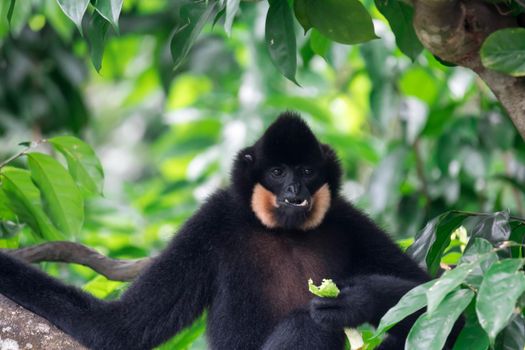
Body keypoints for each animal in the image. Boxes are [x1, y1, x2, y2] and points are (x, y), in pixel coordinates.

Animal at [2, 113, 432, 348]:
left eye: (307, 171)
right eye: (279, 172)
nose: (295, 191)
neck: (285, 234)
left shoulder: (347, 219)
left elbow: (429, 290)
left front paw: (358, 299)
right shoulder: (211, 221)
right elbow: (119, 327)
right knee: (308, 323)